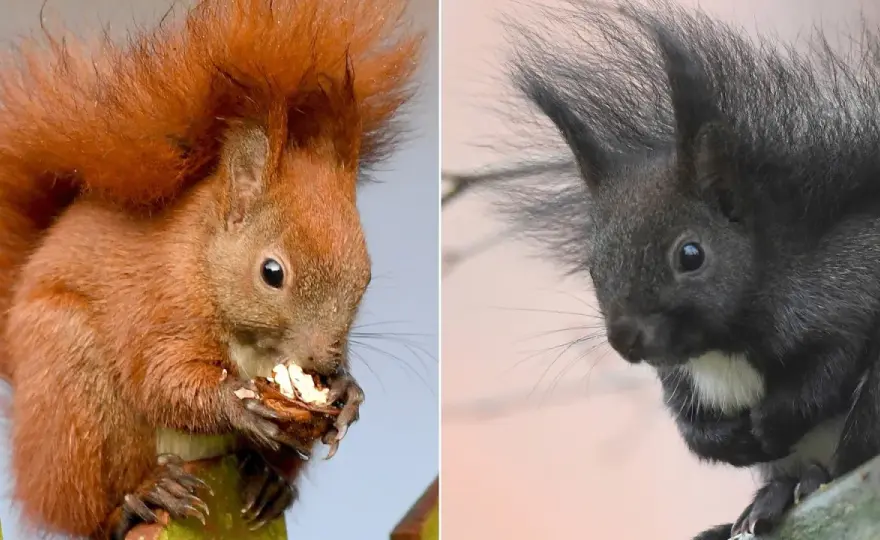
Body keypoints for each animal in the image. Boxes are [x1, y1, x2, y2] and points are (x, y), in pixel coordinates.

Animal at [0, 0, 421, 538]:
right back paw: (143, 496)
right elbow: (162, 382)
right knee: (90, 509)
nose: (325, 364)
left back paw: (267, 482)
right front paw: (235, 405)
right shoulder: (160, 306)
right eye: (271, 272)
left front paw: (348, 393)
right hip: (70, 390)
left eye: (366, 277)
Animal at [504, 1, 880, 538]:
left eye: (691, 255)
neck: (719, 348)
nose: (625, 340)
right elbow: (684, 417)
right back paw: (764, 501)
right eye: (593, 269)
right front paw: (724, 440)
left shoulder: (847, 285)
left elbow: (833, 362)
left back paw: (808, 481)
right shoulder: (678, 375)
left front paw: (771, 422)